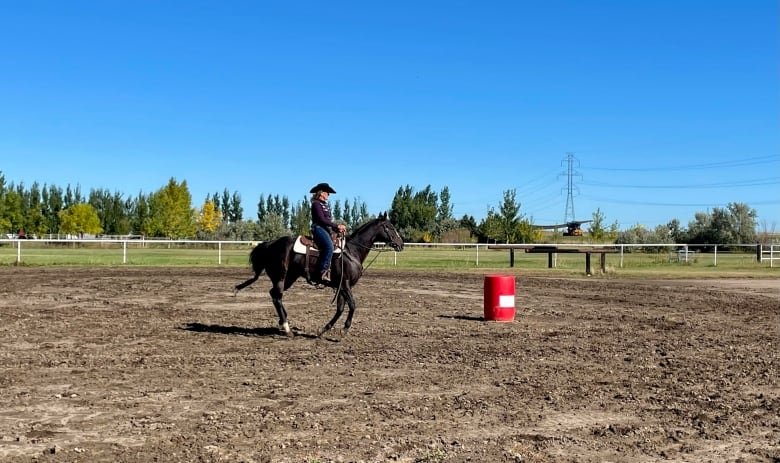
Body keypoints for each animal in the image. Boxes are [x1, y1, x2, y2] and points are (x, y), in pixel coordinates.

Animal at [233, 213, 406, 338]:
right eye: (389, 227)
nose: (401, 244)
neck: (352, 251)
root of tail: (270, 244)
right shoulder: (345, 284)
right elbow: (352, 305)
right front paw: (344, 330)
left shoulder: (341, 287)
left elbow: (340, 308)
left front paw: (324, 330)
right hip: (280, 277)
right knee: (277, 296)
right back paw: (287, 328)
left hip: (290, 277)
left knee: (274, 295)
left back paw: (284, 322)